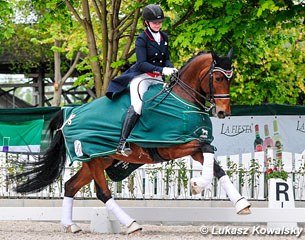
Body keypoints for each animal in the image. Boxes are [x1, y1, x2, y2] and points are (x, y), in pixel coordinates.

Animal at [11, 48, 249, 234]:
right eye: (218, 78)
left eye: (230, 79)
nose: (223, 112)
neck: (182, 100)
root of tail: (69, 114)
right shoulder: (173, 147)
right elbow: (207, 147)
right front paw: (197, 185)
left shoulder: (192, 144)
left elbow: (216, 166)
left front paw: (241, 204)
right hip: (93, 158)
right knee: (102, 192)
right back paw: (131, 224)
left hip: (99, 159)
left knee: (70, 185)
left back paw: (71, 225)